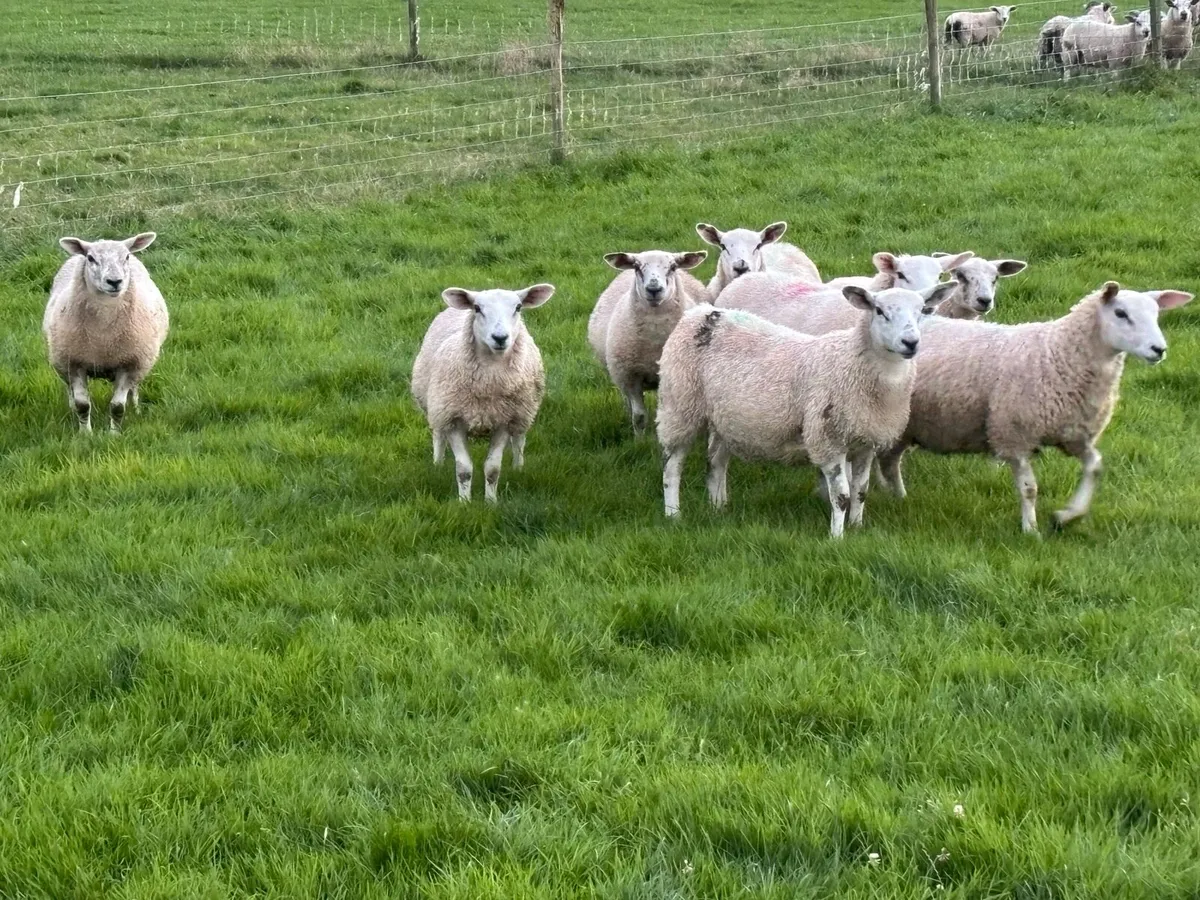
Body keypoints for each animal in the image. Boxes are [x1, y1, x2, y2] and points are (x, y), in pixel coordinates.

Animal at [42, 232, 167, 433]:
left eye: (126, 257)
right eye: (91, 258)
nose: (114, 282)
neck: (103, 337)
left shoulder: (129, 363)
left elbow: (117, 407)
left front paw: (114, 434)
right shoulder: (74, 362)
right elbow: (82, 405)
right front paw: (85, 433)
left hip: (141, 362)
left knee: (134, 388)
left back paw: (136, 408)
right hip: (62, 361)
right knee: (69, 389)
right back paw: (71, 409)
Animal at [411, 283, 555, 503]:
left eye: (518, 307)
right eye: (477, 308)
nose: (500, 338)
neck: (489, 381)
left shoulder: (504, 421)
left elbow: (493, 468)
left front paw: (490, 502)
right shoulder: (453, 419)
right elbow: (463, 469)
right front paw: (464, 502)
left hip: (523, 411)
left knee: (519, 439)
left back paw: (518, 467)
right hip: (436, 406)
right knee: (438, 435)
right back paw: (437, 465)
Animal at [587, 250, 709, 436]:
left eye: (673, 267)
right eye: (637, 267)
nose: (653, 289)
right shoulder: (630, 376)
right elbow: (639, 416)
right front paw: (639, 439)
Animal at [656, 281, 959, 538]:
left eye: (923, 311)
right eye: (880, 311)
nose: (911, 343)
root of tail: (700, 313)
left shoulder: (866, 441)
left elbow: (860, 491)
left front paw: (857, 527)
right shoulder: (828, 439)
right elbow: (842, 496)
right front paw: (837, 538)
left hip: (725, 418)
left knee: (716, 462)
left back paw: (718, 508)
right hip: (679, 405)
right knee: (672, 467)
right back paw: (673, 514)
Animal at [874, 282, 1193, 534]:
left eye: (1156, 315)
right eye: (1121, 313)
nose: (1159, 350)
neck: (1058, 354)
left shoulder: (1074, 435)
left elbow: (1095, 467)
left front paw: (1067, 516)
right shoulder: (1014, 434)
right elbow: (1029, 489)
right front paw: (1031, 530)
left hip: (903, 426)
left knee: (889, 461)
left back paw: (898, 497)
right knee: (887, 461)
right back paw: (896, 497)